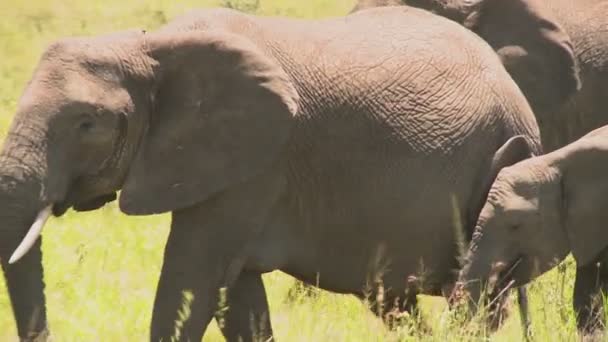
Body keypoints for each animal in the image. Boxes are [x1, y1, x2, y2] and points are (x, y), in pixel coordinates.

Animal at [0, 5, 548, 342]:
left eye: (86, 123)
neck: (150, 46)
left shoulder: (256, 164)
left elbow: (191, 280)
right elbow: (233, 296)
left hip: (503, 162)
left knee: (480, 299)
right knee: (396, 301)